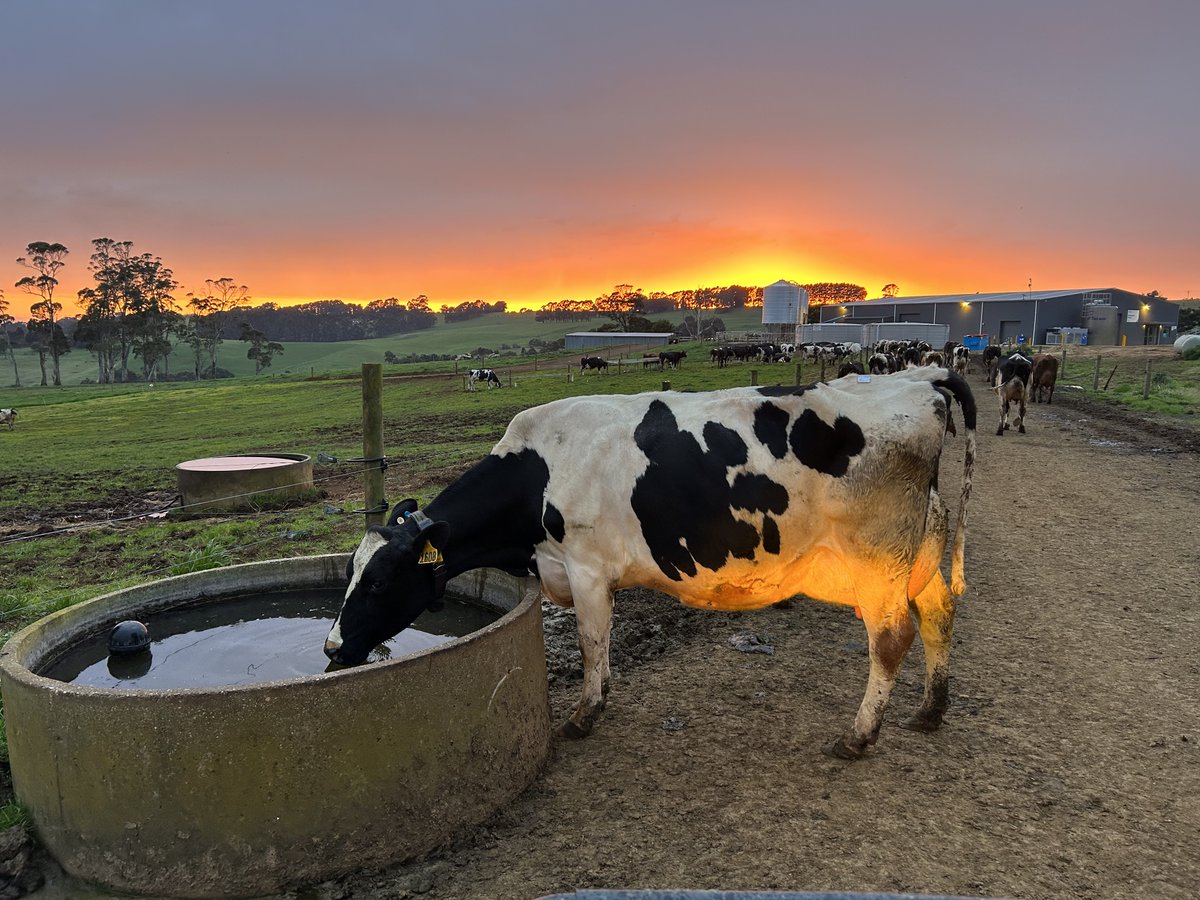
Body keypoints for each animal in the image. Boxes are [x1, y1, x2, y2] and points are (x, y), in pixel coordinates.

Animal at [325, 367, 977, 760]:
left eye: (378, 581)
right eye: (351, 572)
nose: (332, 648)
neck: (537, 475)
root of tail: (918, 377)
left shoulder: (587, 569)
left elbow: (591, 643)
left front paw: (584, 715)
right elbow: (601, 646)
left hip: (877, 558)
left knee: (892, 637)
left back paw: (860, 736)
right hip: (920, 545)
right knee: (939, 612)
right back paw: (930, 710)